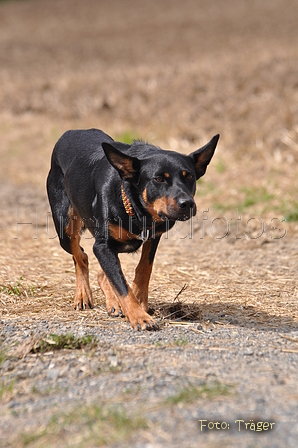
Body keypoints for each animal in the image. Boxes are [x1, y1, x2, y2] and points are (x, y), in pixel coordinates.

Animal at [47, 129, 219, 328]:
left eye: (189, 176)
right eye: (158, 179)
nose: (187, 204)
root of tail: (72, 131)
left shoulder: (153, 235)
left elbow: (144, 268)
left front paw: (139, 301)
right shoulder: (102, 246)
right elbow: (121, 284)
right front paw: (139, 316)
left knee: (101, 271)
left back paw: (113, 303)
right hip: (65, 227)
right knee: (80, 256)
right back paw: (83, 295)